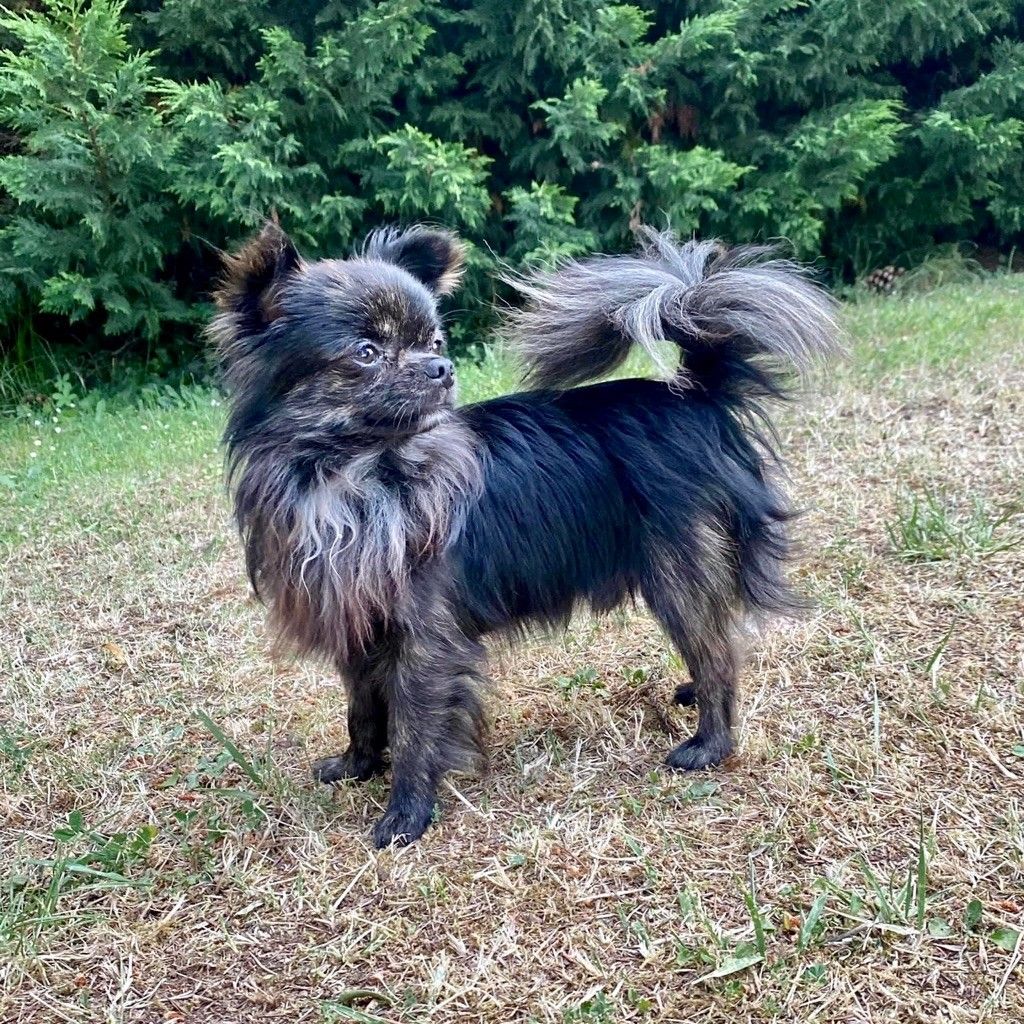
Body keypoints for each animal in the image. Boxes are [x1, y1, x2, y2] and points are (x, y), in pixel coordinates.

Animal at [210, 221, 838, 847]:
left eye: (433, 341)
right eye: (365, 353)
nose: (443, 367)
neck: (357, 480)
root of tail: (697, 394)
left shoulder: (425, 639)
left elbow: (414, 729)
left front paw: (405, 815)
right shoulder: (356, 631)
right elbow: (361, 710)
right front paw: (356, 766)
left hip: (677, 576)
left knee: (717, 656)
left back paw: (709, 744)